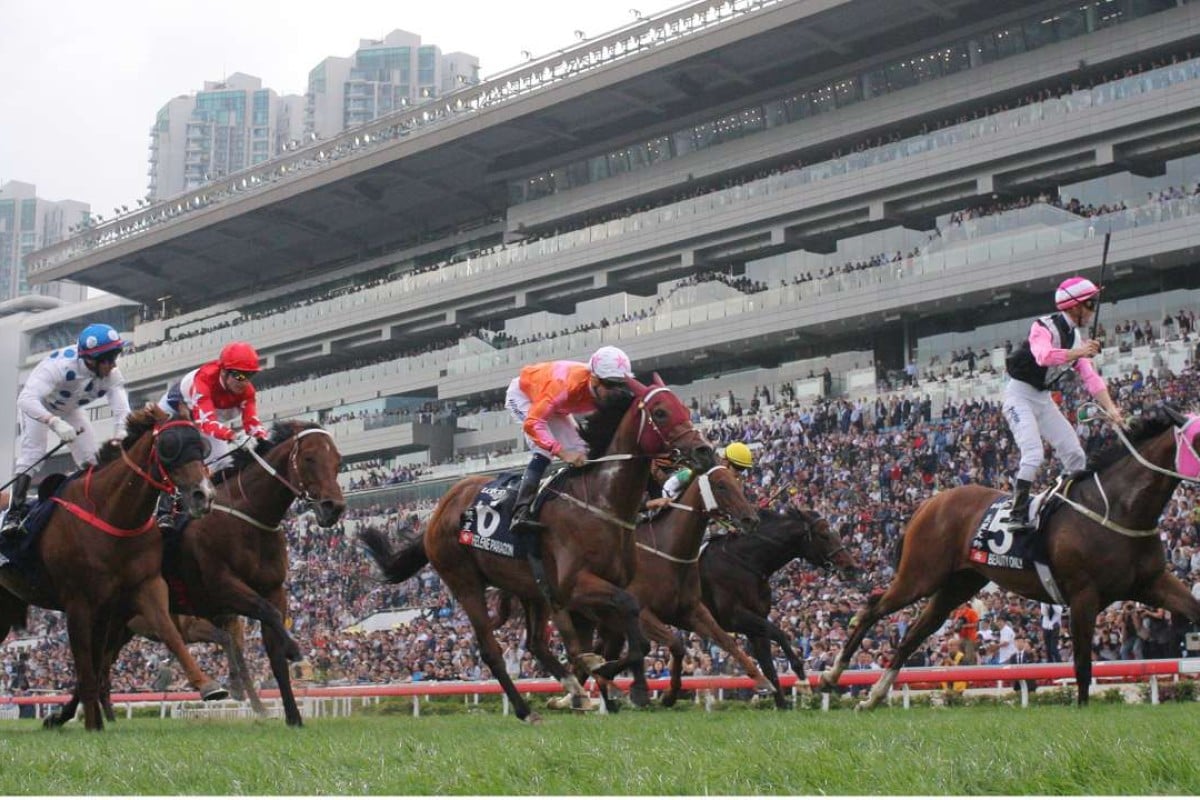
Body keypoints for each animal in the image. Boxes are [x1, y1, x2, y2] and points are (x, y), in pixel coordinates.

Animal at [0, 410, 223, 729]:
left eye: (201, 445)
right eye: (169, 446)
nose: (203, 495)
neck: (113, 514)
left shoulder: (140, 589)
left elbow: (169, 633)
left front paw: (208, 685)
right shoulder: (79, 602)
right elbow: (86, 667)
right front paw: (89, 724)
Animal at [355, 376, 710, 724]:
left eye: (683, 407)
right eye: (661, 412)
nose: (704, 451)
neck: (600, 502)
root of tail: (440, 510)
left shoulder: (605, 589)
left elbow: (631, 631)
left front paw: (620, 685)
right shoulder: (574, 588)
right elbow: (625, 620)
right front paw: (619, 681)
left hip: (530, 589)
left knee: (536, 643)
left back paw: (575, 693)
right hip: (465, 583)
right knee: (491, 650)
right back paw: (527, 710)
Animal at [700, 510, 864, 710]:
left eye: (837, 534)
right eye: (824, 535)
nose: (850, 567)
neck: (744, 562)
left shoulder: (755, 622)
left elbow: (769, 666)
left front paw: (782, 705)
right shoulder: (733, 618)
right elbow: (781, 635)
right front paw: (802, 680)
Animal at [820, 407, 1200, 705]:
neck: (1118, 510)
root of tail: (929, 503)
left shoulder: (1152, 583)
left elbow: (1193, 609)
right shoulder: (1083, 596)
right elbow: (1081, 662)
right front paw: (1082, 710)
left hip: (958, 584)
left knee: (915, 631)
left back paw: (872, 696)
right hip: (920, 575)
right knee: (874, 608)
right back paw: (831, 675)